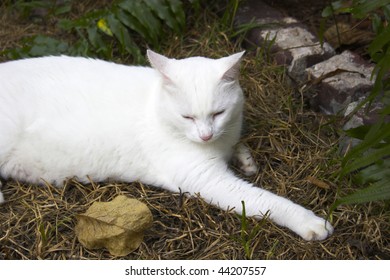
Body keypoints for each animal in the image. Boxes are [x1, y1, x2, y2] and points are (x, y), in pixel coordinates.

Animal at [0, 50, 334, 241]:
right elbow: (265, 201)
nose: (205, 136)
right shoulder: (206, 179)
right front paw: (309, 222)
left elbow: (238, 148)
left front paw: (245, 158)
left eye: (218, 113)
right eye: (187, 117)